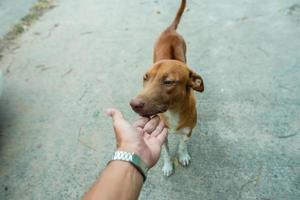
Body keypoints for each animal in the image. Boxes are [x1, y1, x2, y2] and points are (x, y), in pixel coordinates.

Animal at [129, 0, 204, 176]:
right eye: (145, 78)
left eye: (169, 81)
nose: (133, 104)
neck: (173, 111)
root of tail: (170, 29)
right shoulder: (163, 135)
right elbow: (166, 152)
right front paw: (168, 165)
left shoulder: (189, 130)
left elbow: (183, 145)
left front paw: (183, 156)